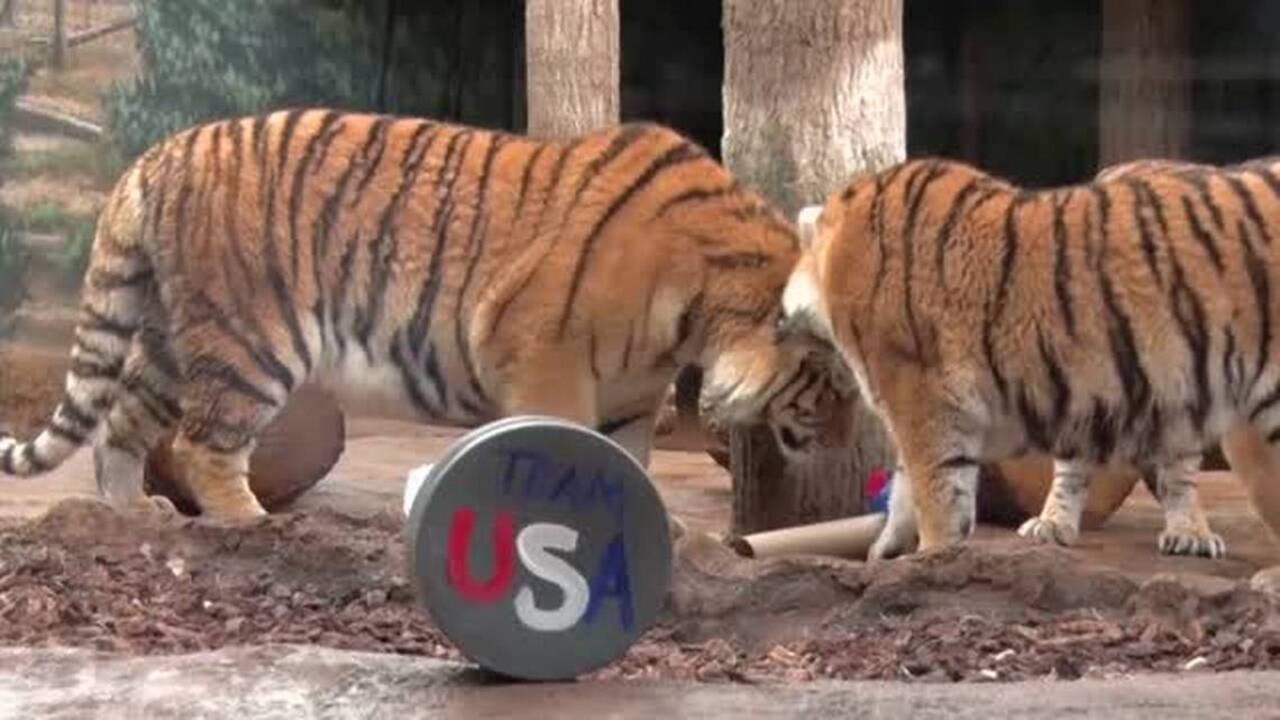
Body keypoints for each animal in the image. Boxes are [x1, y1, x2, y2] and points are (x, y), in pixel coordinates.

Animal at [0, 108, 835, 528]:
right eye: (830, 374)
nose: (844, 433)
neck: (701, 313)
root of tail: (156, 154)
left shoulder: (628, 397)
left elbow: (624, 462)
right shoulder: (547, 362)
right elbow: (559, 448)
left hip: (171, 339)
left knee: (118, 427)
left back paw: (128, 519)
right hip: (249, 341)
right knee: (203, 445)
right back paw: (251, 524)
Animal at [773, 153, 1280, 561]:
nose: (777, 325)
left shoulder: (918, 396)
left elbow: (933, 491)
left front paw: (930, 557)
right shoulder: (924, 403)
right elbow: (912, 487)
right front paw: (892, 553)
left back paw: (1190, 535)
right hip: (1105, 385)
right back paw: (1060, 526)